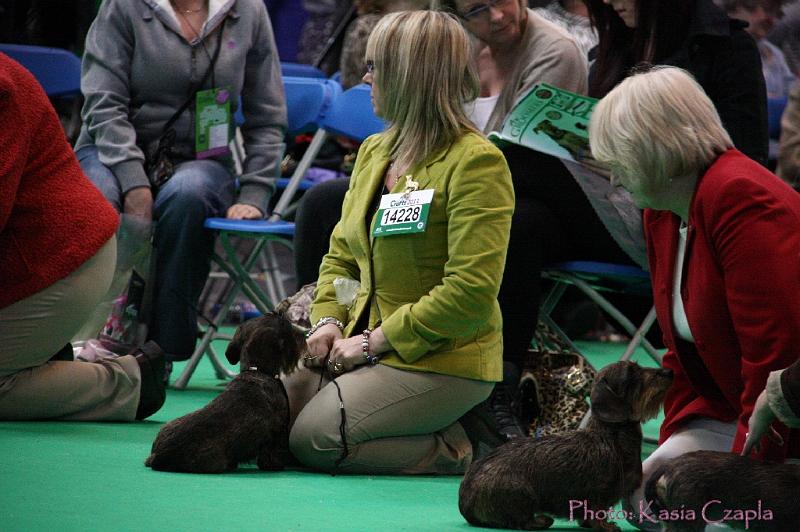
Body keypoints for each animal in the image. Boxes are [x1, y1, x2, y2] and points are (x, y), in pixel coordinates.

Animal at [144, 312, 306, 474]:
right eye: (286, 325)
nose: (303, 335)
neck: (257, 370)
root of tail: (158, 455)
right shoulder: (278, 431)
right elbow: (272, 452)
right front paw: (275, 465)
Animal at [460, 360, 672, 528]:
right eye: (631, 374)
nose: (668, 372)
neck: (612, 435)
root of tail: (465, 497)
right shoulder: (599, 492)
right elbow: (597, 512)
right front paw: (605, 526)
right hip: (522, 493)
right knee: (520, 521)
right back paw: (541, 520)